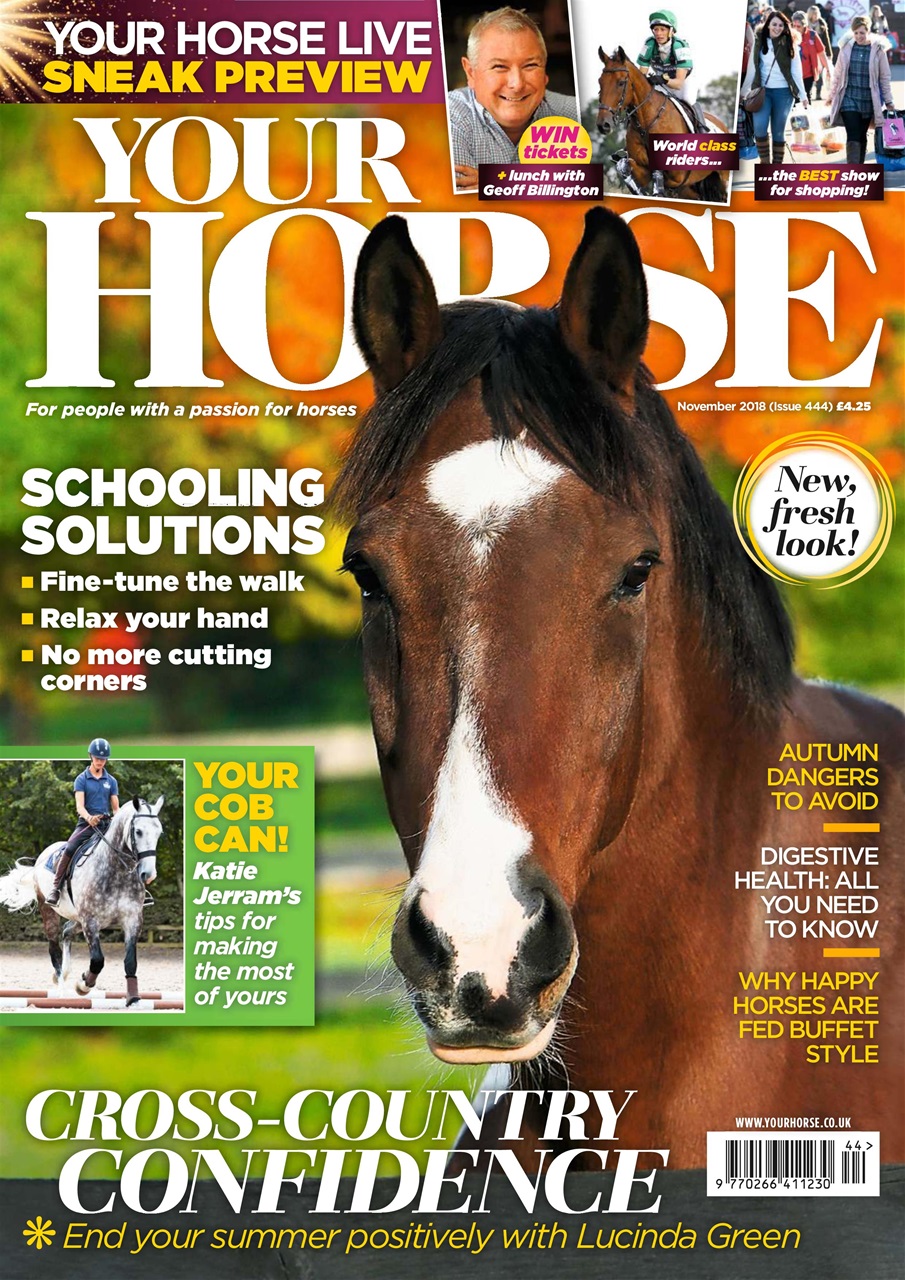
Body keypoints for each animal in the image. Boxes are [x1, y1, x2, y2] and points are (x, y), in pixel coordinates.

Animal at [0, 796, 165, 1007]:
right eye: (138, 831)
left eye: (159, 832)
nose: (149, 875)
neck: (116, 871)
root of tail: (42, 857)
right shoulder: (90, 921)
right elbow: (97, 960)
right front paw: (83, 985)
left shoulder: (132, 920)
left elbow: (130, 961)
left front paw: (133, 998)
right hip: (50, 912)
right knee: (54, 949)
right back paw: (61, 989)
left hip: (77, 918)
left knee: (67, 932)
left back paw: (64, 975)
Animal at [597, 46, 729, 202]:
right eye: (600, 82)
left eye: (621, 82)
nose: (603, 124)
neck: (647, 124)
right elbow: (626, 166)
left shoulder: (678, 175)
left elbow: (659, 173)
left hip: (722, 181)